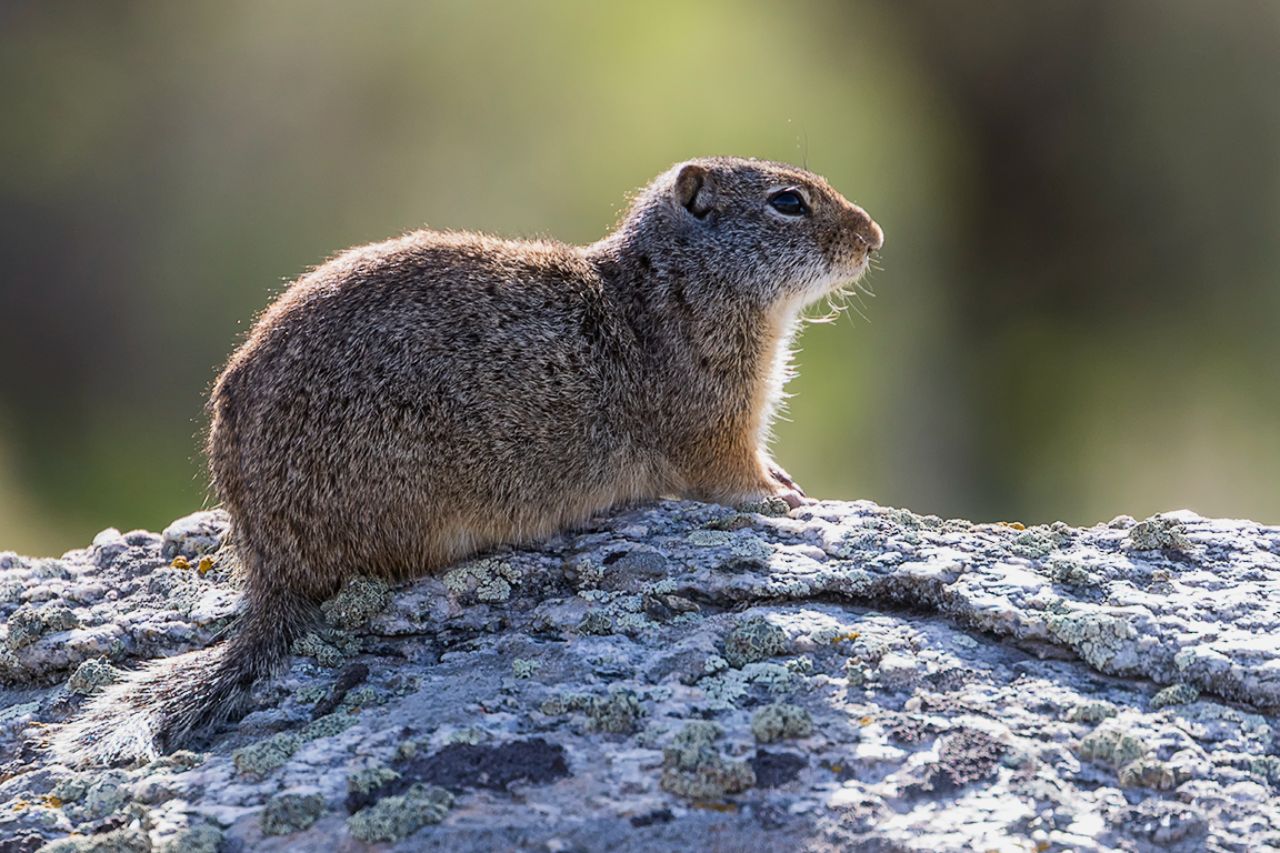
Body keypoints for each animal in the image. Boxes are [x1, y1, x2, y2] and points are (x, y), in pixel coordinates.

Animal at [54, 156, 882, 765]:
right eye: (787, 202)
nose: (874, 235)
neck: (669, 287)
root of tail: (268, 570)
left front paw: (787, 485)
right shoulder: (715, 424)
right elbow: (730, 476)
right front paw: (780, 498)